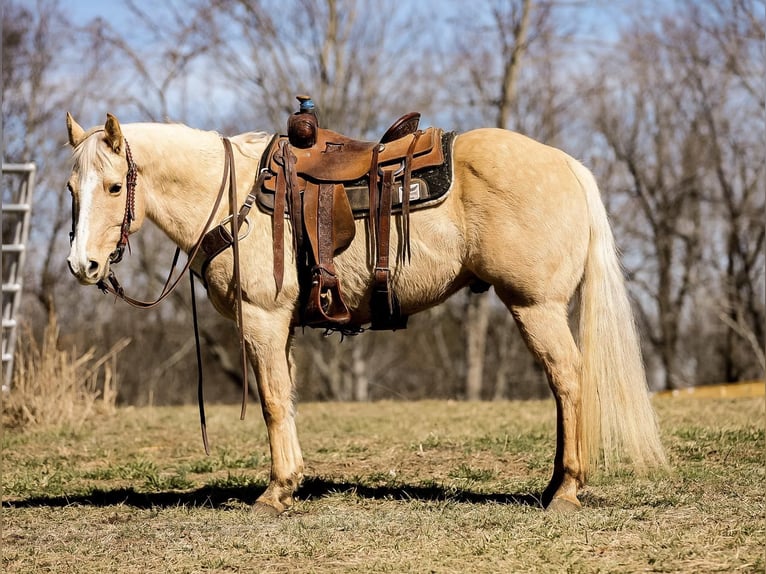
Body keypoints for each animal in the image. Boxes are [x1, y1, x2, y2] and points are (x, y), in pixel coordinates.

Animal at [64, 111, 664, 512]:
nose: (81, 265)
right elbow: (288, 398)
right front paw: (294, 481)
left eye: (114, 186)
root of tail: (569, 165)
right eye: (71, 187)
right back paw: (557, 485)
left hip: (535, 306)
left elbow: (273, 401)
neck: (233, 197)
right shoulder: (283, 326)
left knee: (569, 380)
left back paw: (567, 488)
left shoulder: (262, 318)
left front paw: (276, 492)